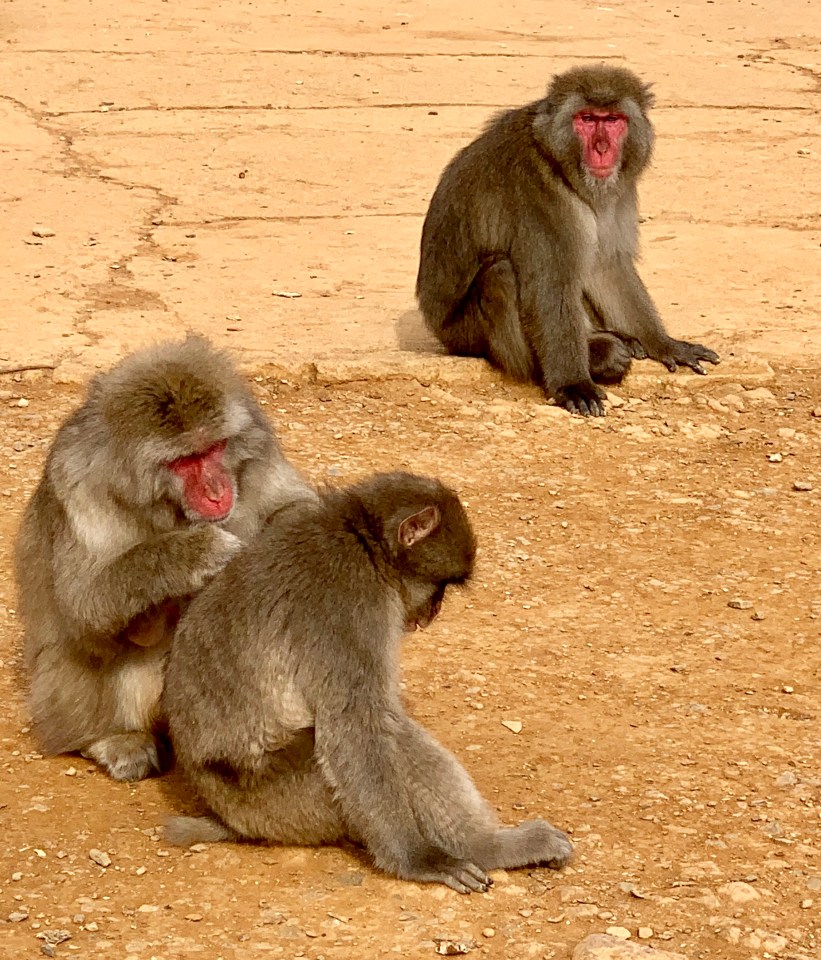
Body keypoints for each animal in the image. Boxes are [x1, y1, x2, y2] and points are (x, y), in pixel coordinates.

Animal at [14, 334, 312, 782]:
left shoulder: (258, 445)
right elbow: (82, 603)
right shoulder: (81, 485)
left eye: (215, 448)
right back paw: (111, 737)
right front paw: (197, 552)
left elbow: (293, 507)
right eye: (186, 461)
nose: (217, 491)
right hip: (55, 697)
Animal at [162, 471, 573, 892]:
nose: (434, 611)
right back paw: (486, 847)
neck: (363, 543)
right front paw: (417, 859)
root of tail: (231, 817)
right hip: (285, 799)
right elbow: (354, 728)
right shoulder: (349, 604)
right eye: (439, 586)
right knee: (390, 735)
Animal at [416, 63, 720, 417]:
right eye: (587, 119)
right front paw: (572, 384)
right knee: (500, 273)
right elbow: (551, 287)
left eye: (612, 120)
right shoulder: (535, 191)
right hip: (464, 335)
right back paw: (592, 356)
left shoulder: (618, 188)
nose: (602, 149)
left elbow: (607, 266)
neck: (558, 162)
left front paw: (664, 343)